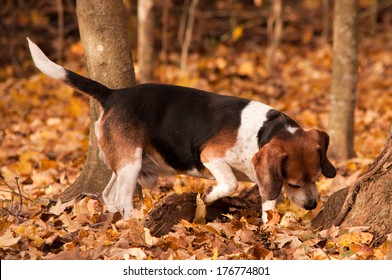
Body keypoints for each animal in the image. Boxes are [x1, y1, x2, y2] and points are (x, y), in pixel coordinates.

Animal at [27, 38, 336, 223]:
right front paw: (208, 196)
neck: (263, 131)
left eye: (316, 178)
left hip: (126, 164)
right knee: (122, 199)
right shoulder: (211, 155)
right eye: (293, 183)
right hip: (130, 163)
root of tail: (113, 93)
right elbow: (230, 183)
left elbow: (267, 201)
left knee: (107, 195)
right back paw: (133, 223)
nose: (312, 205)